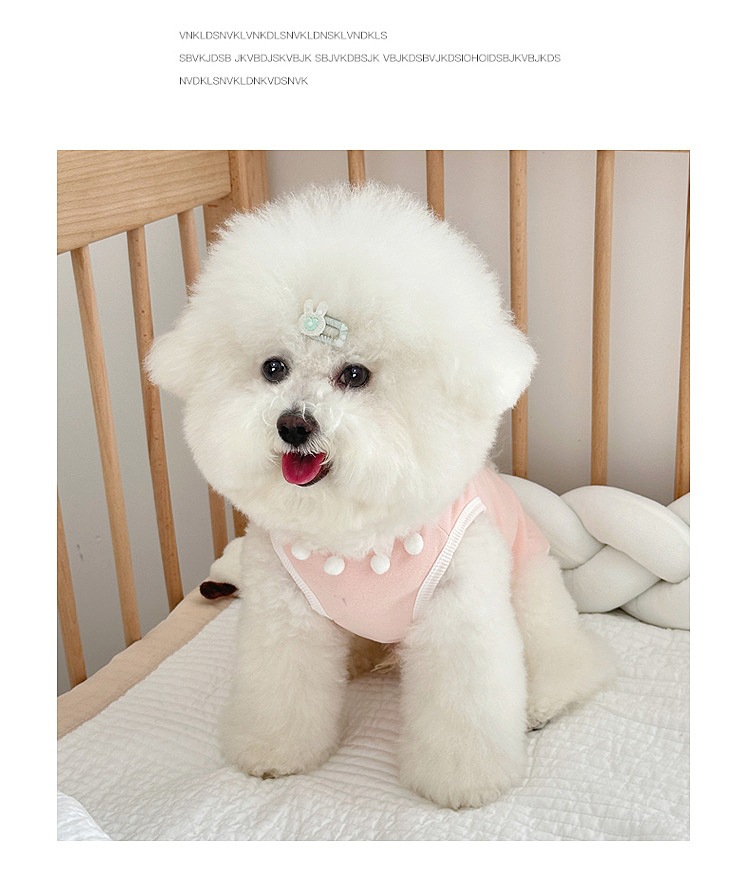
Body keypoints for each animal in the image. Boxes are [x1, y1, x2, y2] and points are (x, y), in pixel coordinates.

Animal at [147, 183, 615, 809]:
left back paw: (542, 702)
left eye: (355, 375)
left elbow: (465, 708)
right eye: (274, 368)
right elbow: (281, 690)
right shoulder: (283, 615)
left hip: (533, 591)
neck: (359, 538)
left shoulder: (460, 615)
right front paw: (274, 753)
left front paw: (464, 781)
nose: (293, 425)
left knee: (564, 658)